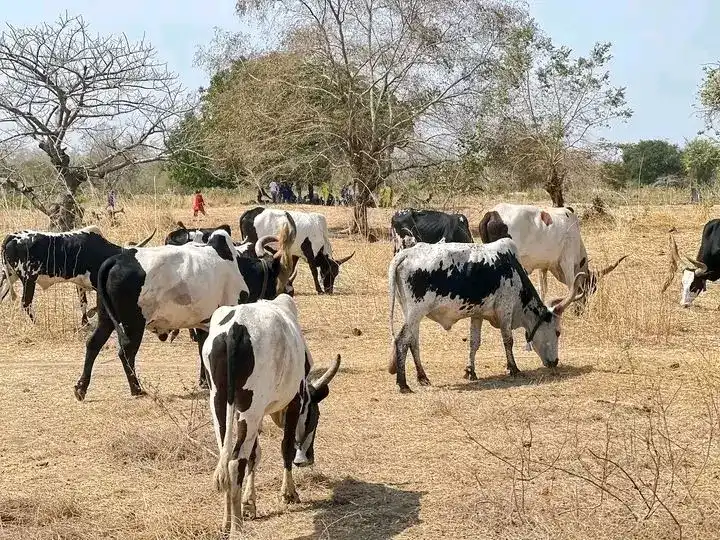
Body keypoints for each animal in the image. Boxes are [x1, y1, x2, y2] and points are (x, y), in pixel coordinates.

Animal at [0, 226, 156, 326]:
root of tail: (11, 236)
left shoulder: (80, 283)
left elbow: (83, 303)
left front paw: (85, 322)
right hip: (28, 279)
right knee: (26, 303)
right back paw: (37, 324)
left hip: (9, 276)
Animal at [73, 220, 296, 402]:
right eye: (279, 276)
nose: (289, 293)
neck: (240, 268)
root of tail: (114, 260)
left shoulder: (203, 321)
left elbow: (202, 348)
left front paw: (204, 381)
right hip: (133, 323)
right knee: (126, 352)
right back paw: (137, 389)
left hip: (106, 319)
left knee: (93, 344)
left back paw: (81, 388)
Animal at [203, 294, 340, 535]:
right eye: (315, 417)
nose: (308, 459)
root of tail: (235, 329)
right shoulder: (295, 401)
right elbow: (285, 447)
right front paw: (289, 493)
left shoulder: (252, 414)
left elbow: (254, 455)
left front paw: (249, 503)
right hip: (249, 409)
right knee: (234, 462)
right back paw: (237, 527)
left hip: (219, 404)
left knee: (226, 457)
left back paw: (227, 521)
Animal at [387, 239, 586, 393]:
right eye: (557, 332)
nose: (555, 362)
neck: (514, 270)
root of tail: (405, 254)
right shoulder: (505, 309)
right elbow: (508, 340)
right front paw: (513, 368)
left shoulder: (478, 314)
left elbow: (474, 342)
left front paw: (470, 371)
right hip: (416, 312)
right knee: (402, 340)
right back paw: (403, 384)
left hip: (411, 313)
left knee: (413, 342)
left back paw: (422, 377)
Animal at [478, 203, 626, 306]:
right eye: (590, 289)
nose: (580, 311)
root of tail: (492, 213)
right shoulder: (567, 262)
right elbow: (571, 287)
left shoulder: (542, 266)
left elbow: (543, 289)